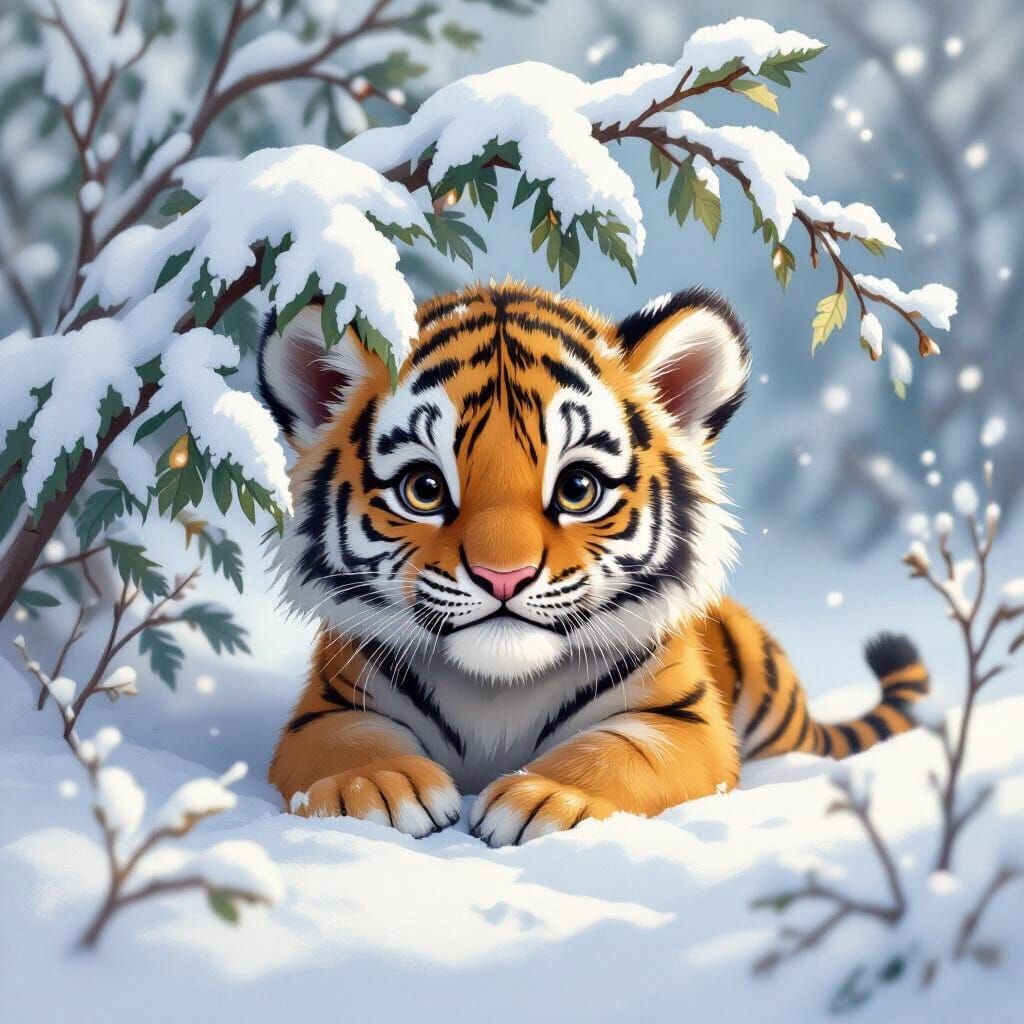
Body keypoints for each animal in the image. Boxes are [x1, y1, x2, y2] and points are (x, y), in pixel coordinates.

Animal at [259, 281, 929, 847]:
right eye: (424, 489)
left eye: (578, 488)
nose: (503, 577)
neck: (497, 691)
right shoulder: (328, 707)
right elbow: (347, 744)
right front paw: (374, 787)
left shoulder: (681, 721)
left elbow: (621, 752)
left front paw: (549, 798)